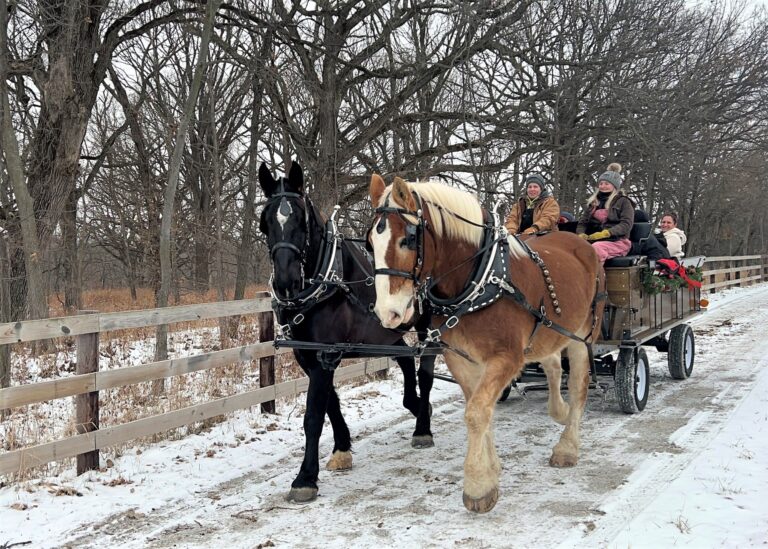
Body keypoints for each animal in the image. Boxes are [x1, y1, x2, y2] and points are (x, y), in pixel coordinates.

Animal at [258, 162, 436, 503]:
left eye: (300, 220)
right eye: (265, 222)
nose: (286, 281)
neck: (328, 278)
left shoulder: (326, 355)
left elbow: (314, 415)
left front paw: (305, 478)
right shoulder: (309, 354)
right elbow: (331, 403)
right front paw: (342, 448)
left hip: (429, 326)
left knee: (426, 372)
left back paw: (423, 426)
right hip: (388, 331)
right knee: (407, 362)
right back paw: (416, 404)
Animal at [366, 174, 605, 513]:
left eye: (407, 240)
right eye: (370, 243)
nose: (388, 313)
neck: (478, 281)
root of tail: (582, 243)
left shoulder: (505, 358)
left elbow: (477, 412)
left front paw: (478, 485)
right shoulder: (462, 359)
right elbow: (481, 410)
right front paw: (490, 472)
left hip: (583, 335)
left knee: (579, 386)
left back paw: (567, 447)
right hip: (547, 331)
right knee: (552, 363)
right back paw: (558, 410)